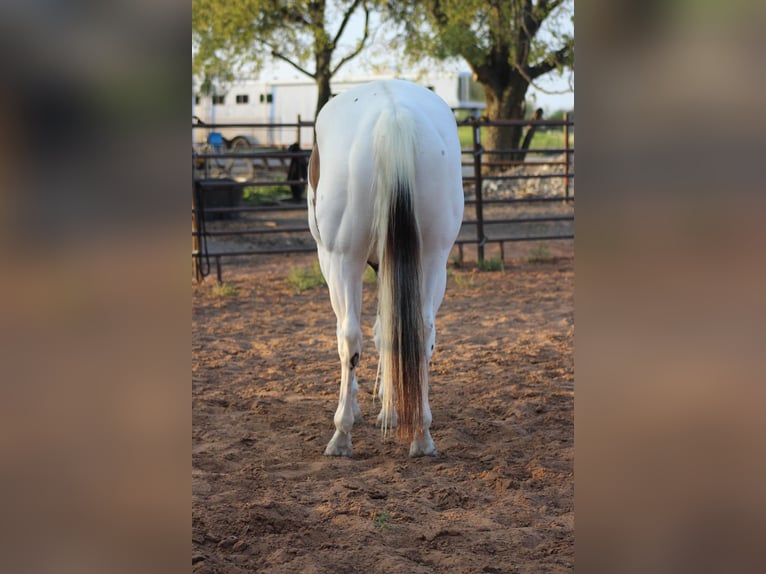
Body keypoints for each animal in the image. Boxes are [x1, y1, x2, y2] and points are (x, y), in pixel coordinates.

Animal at [308, 81, 464, 460]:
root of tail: (394, 114)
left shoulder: (331, 259)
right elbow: (389, 332)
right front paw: (390, 410)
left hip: (343, 259)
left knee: (349, 338)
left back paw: (341, 434)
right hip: (433, 258)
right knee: (421, 332)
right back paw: (421, 434)